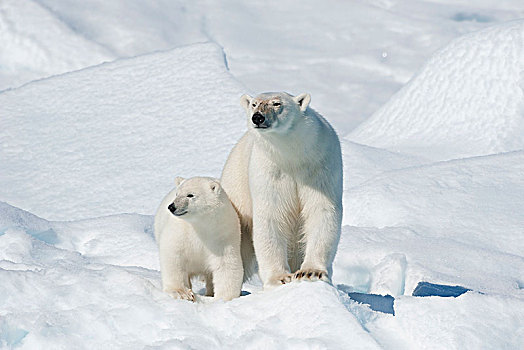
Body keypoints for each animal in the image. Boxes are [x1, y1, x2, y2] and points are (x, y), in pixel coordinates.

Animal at [221, 91, 344, 288]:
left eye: (277, 103)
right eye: (254, 104)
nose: (258, 117)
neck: (291, 155)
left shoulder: (320, 165)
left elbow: (321, 210)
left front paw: (311, 272)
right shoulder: (270, 170)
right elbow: (272, 215)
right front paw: (280, 278)